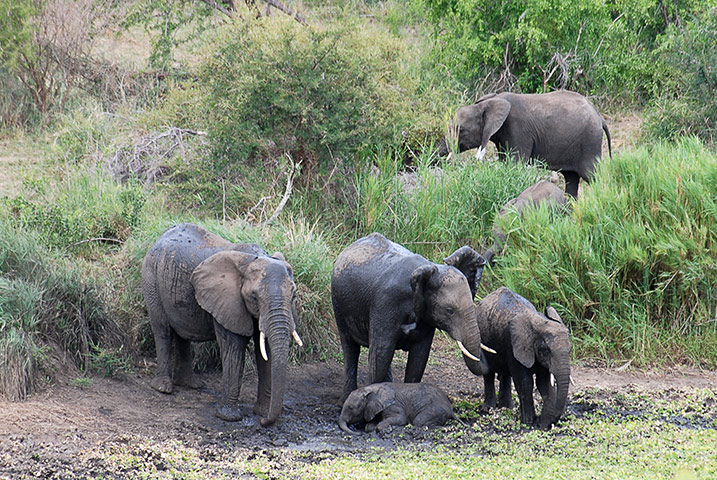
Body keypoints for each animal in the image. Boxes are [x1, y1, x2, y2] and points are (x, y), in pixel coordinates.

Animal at [141, 223, 300, 426]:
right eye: (254, 297)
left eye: (293, 295)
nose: (264, 422)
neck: (251, 260)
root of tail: (159, 237)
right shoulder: (228, 301)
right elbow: (234, 348)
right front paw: (229, 417)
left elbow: (266, 352)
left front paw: (261, 412)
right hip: (151, 277)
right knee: (163, 330)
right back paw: (163, 388)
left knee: (182, 334)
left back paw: (190, 385)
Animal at [332, 232, 492, 402]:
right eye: (449, 311)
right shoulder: (385, 304)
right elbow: (380, 355)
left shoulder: (425, 314)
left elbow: (418, 359)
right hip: (337, 302)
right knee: (350, 347)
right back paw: (345, 399)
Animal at [436, 90, 608, 197]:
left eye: (460, 129)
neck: (489, 102)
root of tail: (600, 117)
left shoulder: (518, 130)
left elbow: (515, 164)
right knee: (571, 178)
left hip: (590, 141)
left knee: (592, 175)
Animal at [462, 286, 572, 430]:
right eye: (546, 350)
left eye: (570, 349)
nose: (547, 425)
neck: (539, 320)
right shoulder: (513, 344)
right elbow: (525, 382)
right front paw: (529, 423)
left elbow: (544, 384)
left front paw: (542, 424)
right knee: (489, 374)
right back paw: (489, 409)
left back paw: (507, 407)